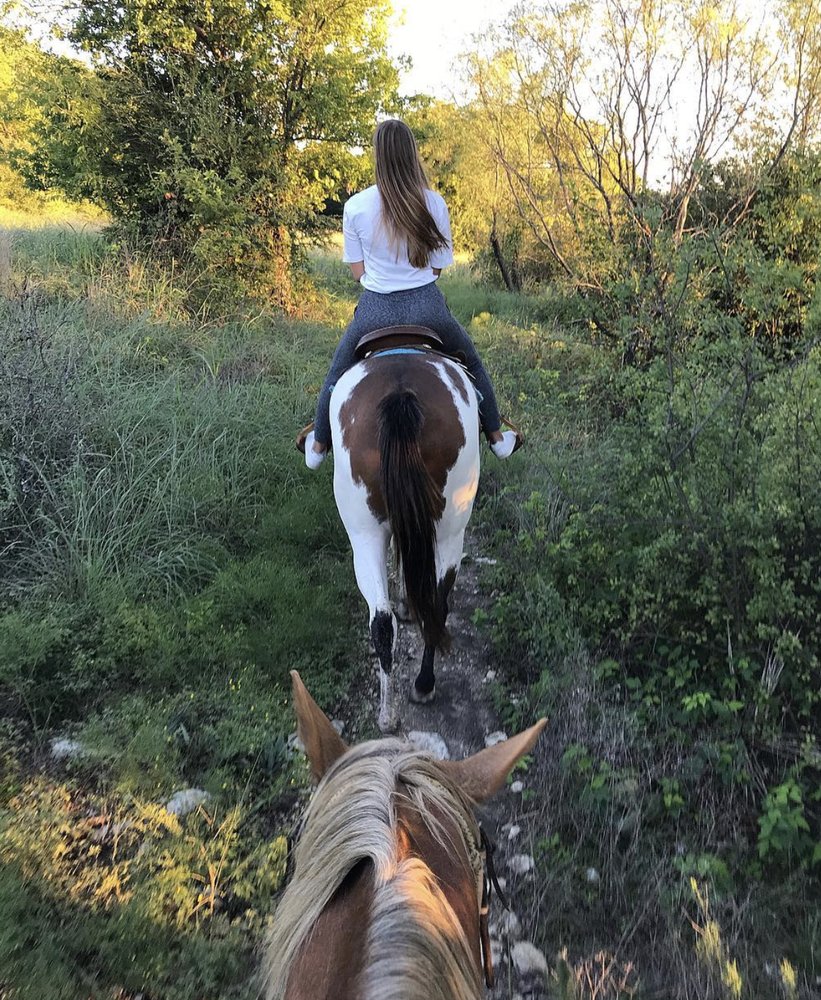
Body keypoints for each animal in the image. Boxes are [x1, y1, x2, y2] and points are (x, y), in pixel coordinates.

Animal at [329, 328, 481, 731]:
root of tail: (400, 394)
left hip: (365, 532)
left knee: (386, 618)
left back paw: (392, 710)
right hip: (447, 528)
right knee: (428, 607)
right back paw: (417, 690)